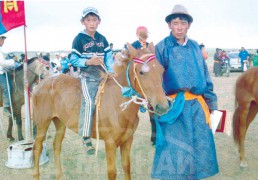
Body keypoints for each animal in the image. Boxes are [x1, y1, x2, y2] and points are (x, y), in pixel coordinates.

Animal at [32, 43, 169, 179]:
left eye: (162, 70)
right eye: (141, 72)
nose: (163, 106)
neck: (119, 103)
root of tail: (42, 83)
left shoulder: (127, 140)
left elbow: (126, 166)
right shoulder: (110, 144)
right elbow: (112, 172)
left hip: (60, 122)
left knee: (56, 145)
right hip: (43, 124)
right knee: (37, 148)